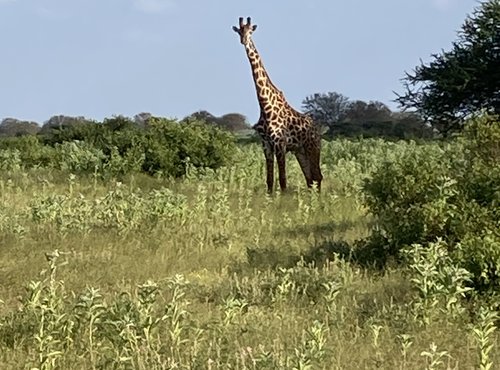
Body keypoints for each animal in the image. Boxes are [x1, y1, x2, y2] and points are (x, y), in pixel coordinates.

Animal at [232, 16, 322, 194]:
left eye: (250, 31)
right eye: (239, 31)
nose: (244, 41)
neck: (264, 104)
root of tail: (317, 128)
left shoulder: (280, 143)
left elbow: (283, 180)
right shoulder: (266, 145)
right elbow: (270, 181)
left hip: (313, 147)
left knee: (318, 176)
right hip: (300, 151)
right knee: (310, 179)